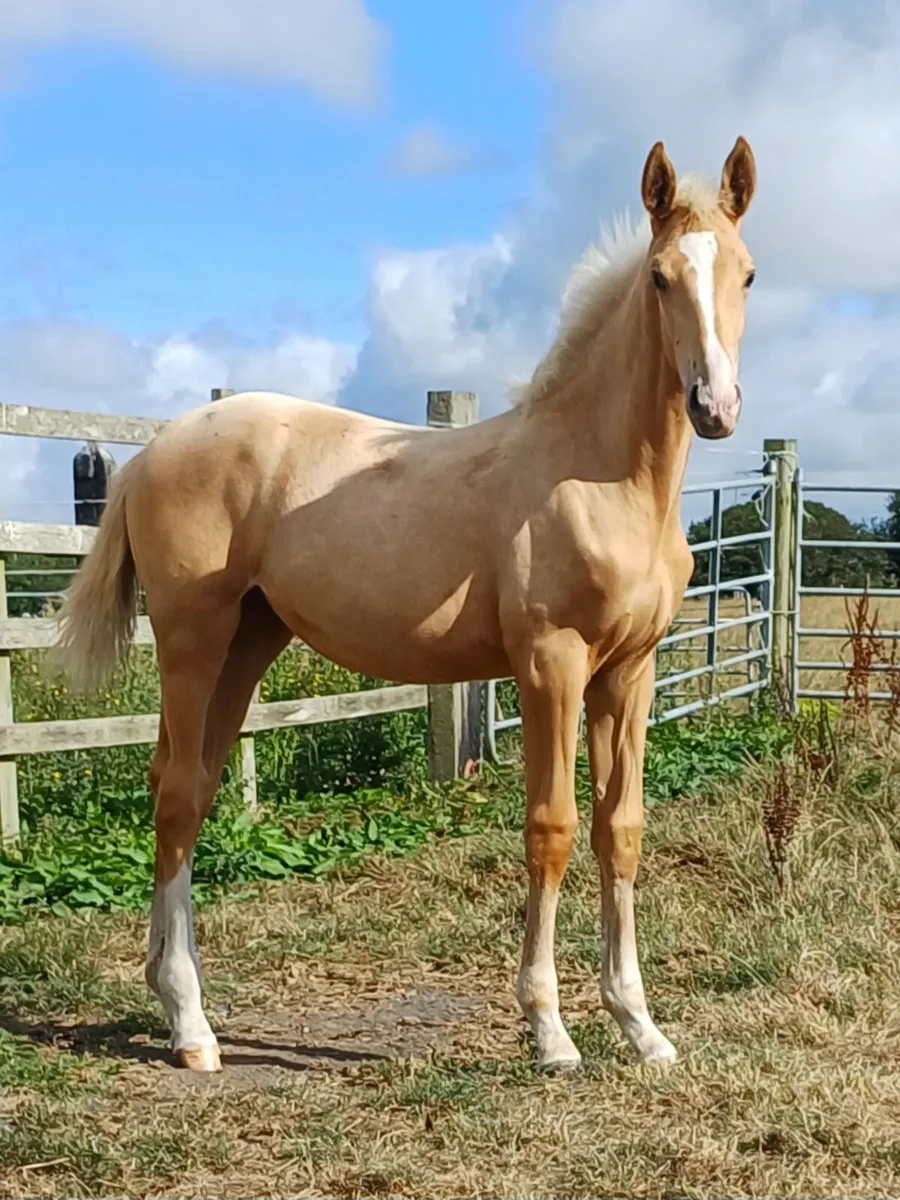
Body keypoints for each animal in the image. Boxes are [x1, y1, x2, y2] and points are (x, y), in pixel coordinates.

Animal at [52, 136, 757, 1074]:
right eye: (659, 277)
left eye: (747, 273)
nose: (714, 407)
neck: (602, 477)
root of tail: (152, 449)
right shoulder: (551, 664)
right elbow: (553, 829)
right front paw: (550, 1032)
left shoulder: (630, 674)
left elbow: (623, 831)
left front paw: (640, 1027)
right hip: (193, 640)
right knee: (175, 795)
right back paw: (193, 1028)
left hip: (248, 641)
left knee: (187, 784)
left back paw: (180, 1007)